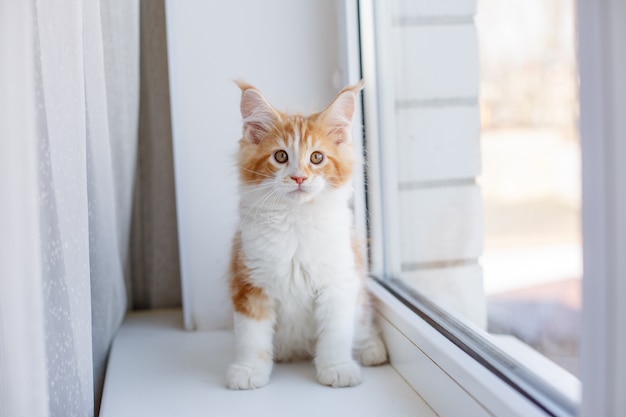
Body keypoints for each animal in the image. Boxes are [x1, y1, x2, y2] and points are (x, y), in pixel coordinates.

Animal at [225, 81, 386, 390]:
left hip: (358, 293)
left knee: (361, 323)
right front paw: (249, 370)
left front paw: (337, 368)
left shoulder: (339, 283)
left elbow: (336, 334)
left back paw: (370, 348)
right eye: (281, 156)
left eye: (316, 157)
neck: (296, 221)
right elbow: (252, 338)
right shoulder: (249, 283)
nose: (299, 177)